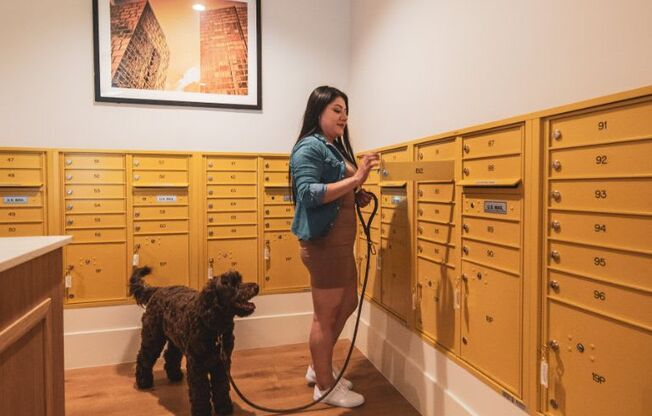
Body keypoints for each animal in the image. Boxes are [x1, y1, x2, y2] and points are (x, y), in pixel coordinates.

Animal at [129, 266, 258, 416]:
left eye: (240, 280)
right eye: (232, 284)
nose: (256, 286)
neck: (215, 327)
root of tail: (157, 290)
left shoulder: (221, 363)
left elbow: (221, 387)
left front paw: (224, 408)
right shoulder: (197, 364)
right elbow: (200, 391)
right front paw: (202, 411)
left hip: (175, 338)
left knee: (171, 355)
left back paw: (175, 375)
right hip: (153, 337)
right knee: (143, 357)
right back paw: (143, 382)